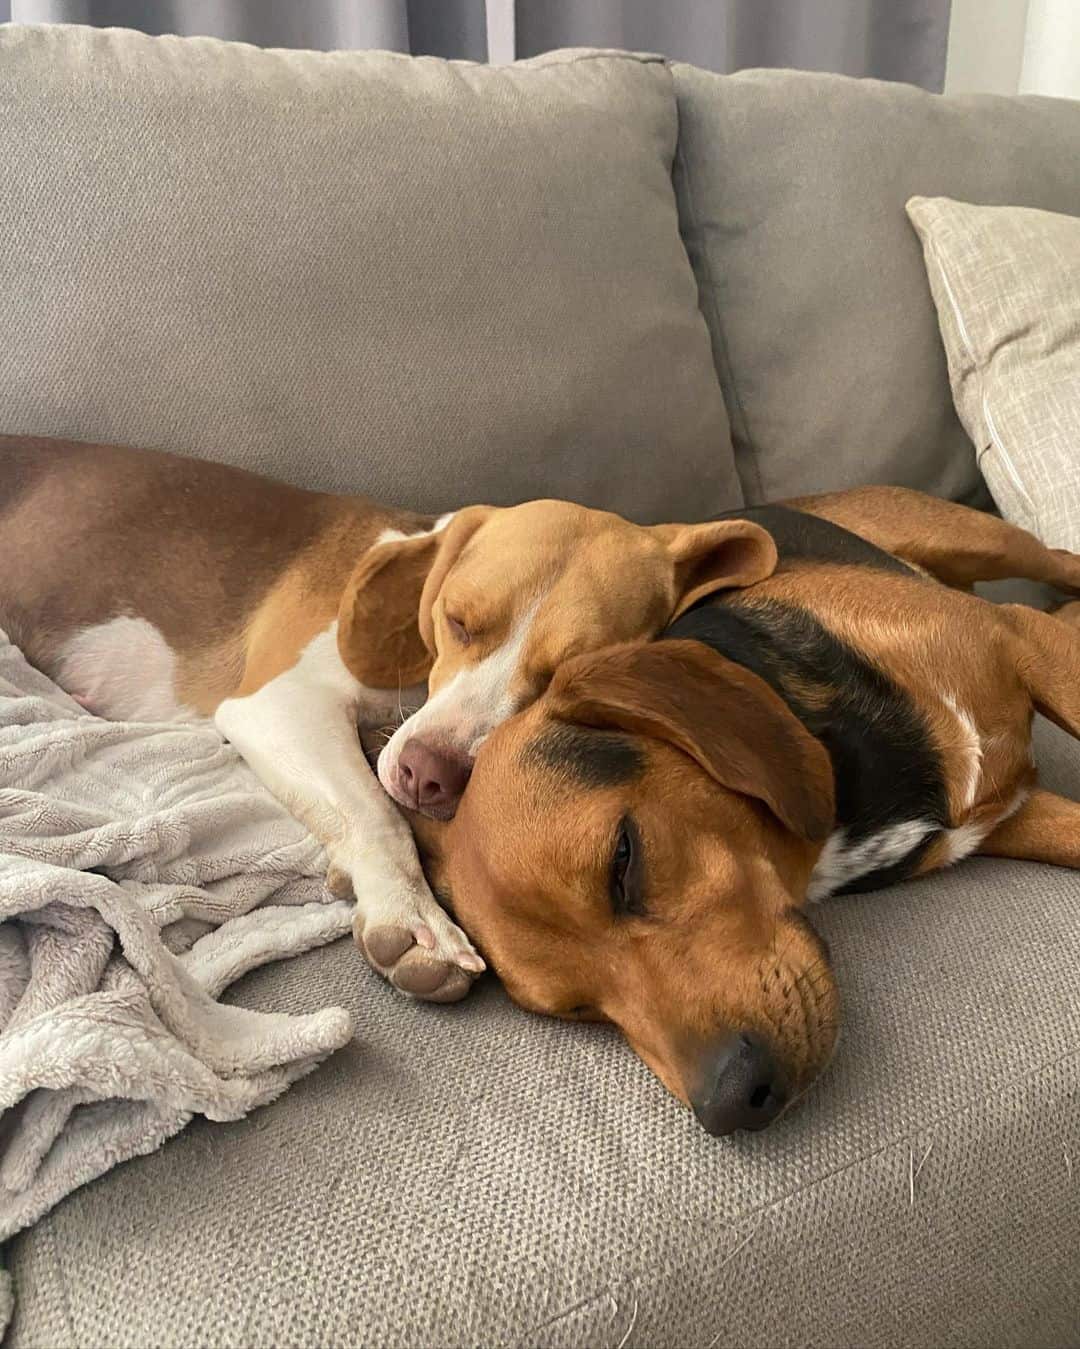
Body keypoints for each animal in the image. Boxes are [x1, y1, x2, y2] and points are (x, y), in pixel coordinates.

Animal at [415, 491, 1080, 1133]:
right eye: (579, 1008)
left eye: (623, 861)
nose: (733, 1105)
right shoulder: (1007, 817)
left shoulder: (1022, 640)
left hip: (987, 542)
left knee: (1057, 561)